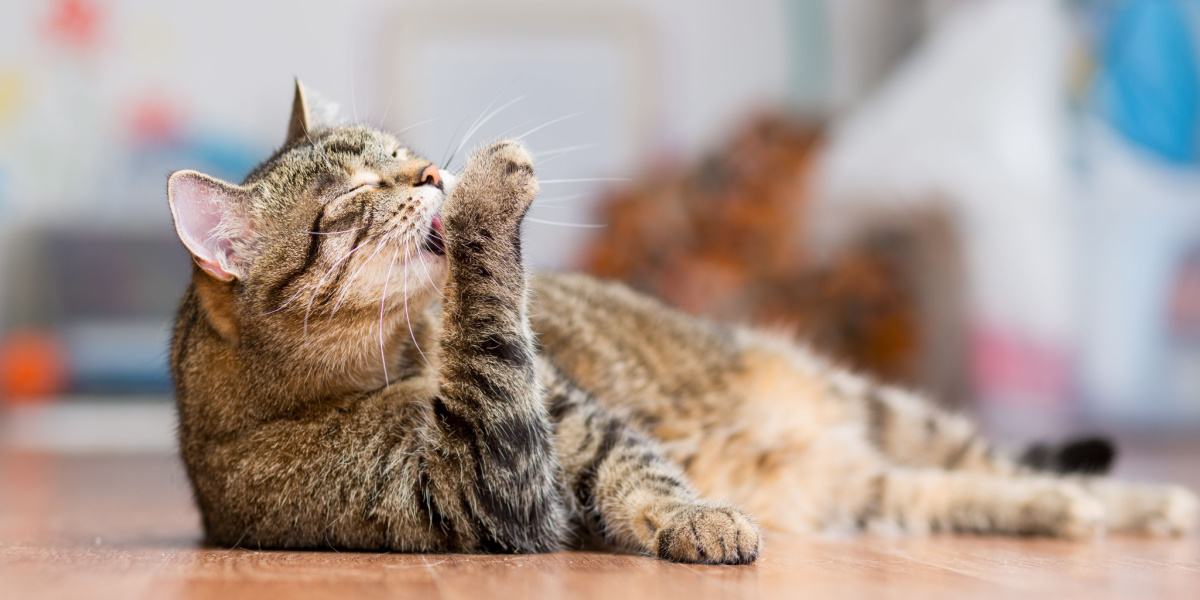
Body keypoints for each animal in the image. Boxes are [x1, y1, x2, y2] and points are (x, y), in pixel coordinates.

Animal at [164, 82, 1195, 564]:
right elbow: (494, 343)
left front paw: (698, 517)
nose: (430, 174)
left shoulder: (577, 418)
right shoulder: (486, 484)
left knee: (1006, 466)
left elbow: (646, 470)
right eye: (356, 196)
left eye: (402, 153)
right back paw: (1076, 509)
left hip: (886, 411)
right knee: (959, 490)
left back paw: (1146, 505)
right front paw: (488, 199)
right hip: (875, 487)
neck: (413, 355)